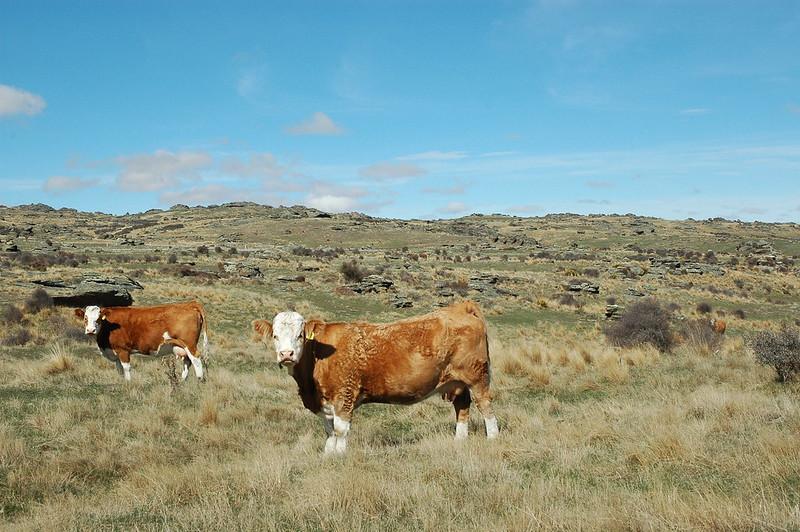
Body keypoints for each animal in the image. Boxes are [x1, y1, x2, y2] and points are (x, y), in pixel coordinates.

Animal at [74, 301, 208, 382]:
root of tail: (190, 303)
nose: (90, 330)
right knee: (187, 361)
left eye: (98, 319)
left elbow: (126, 368)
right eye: (85, 318)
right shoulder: (116, 352)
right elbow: (119, 370)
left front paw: (128, 383)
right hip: (182, 346)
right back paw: (182, 381)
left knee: (196, 360)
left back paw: (199, 380)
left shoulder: (123, 350)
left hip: (189, 344)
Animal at [252, 300, 497, 455]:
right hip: (457, 382)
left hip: (477, 377)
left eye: (300, 335)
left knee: (486, 407)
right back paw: (459, 441)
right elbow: (329, 432)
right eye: (275, 336)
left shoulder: (344, 395)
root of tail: (461, 307)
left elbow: (340, 431)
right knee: (462, 407)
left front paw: (339, 457)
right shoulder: (325, 402)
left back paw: (493, 440)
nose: (286, 355)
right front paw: (328, 455)